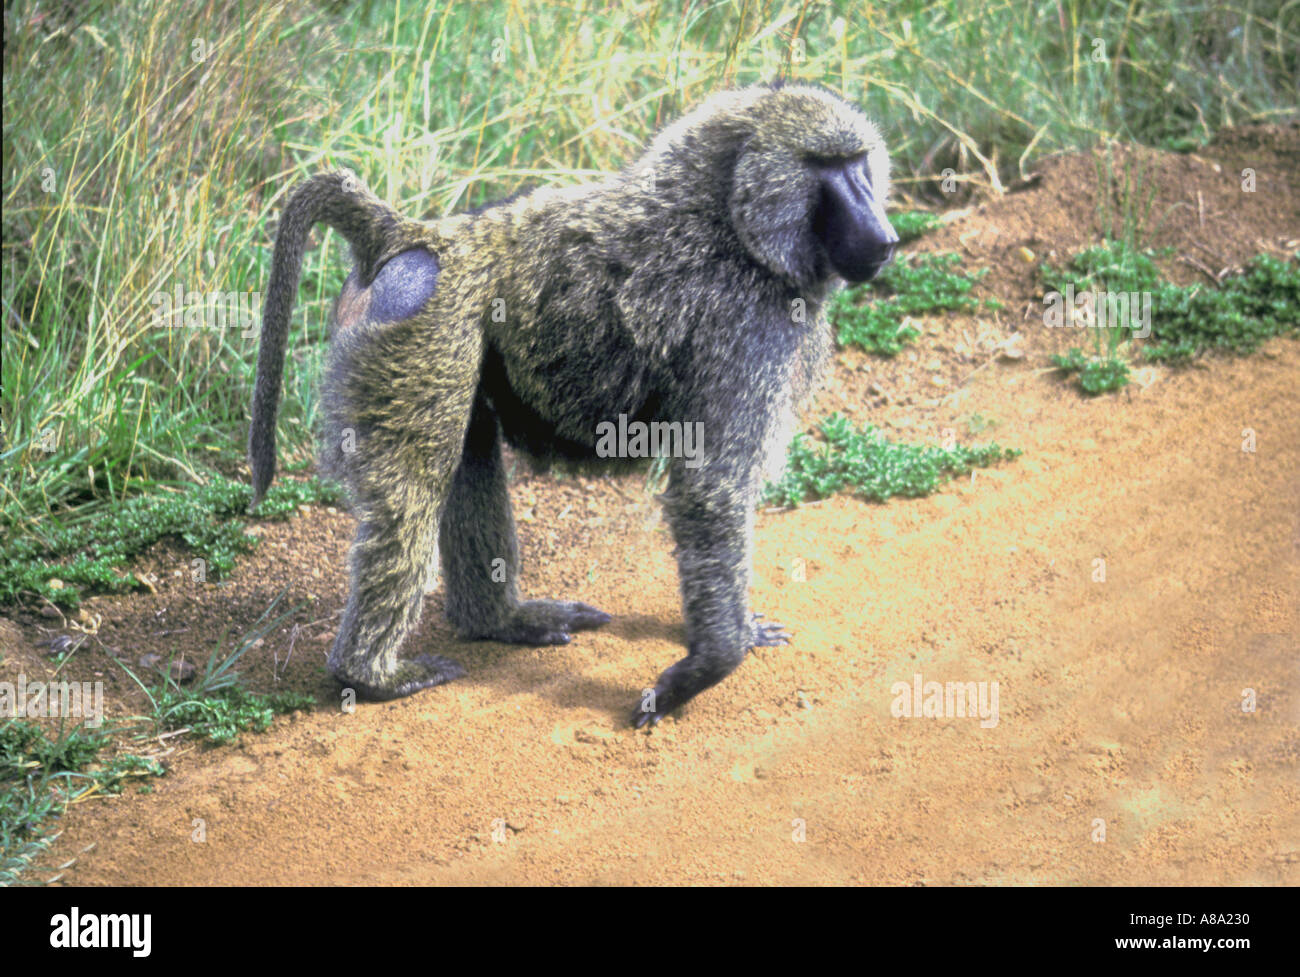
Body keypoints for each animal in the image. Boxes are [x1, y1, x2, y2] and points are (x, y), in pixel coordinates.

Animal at [249, 82, 897, 726]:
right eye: (828, 167)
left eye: (858, 162)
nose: (886, 237)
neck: (727, 215)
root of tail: (417, 235)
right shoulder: (745, 324)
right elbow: (713, 492)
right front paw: (704, 668)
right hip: (425, 330)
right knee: (416, 486)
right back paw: (370, 675)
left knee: (465, 450)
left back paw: (498, 622)